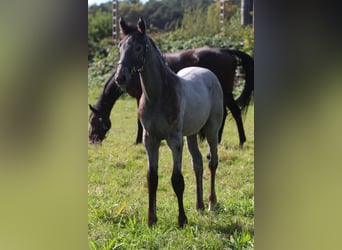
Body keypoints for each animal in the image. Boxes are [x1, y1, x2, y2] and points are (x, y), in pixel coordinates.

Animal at [88, 44, 254, 146]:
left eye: (93, 121)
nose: (91, 140)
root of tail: (226, 51)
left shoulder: (140, 96)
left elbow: (139, 121)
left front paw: (137, 141)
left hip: (225, 92)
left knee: (234, 112)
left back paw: (238, 140)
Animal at [113, 17, 224, 229]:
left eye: (138, 47)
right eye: (120, 45)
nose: (120, 77)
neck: (158, 95)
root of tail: (207, 72)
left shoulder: (174, 140)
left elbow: (177, 179)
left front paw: (182, 220)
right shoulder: (150, 140)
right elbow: (152, 178)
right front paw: (151, 220)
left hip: (211, 129)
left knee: (212, 162)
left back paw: (211, 203)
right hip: (191, 134)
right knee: (197, 163)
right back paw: (198, 205)